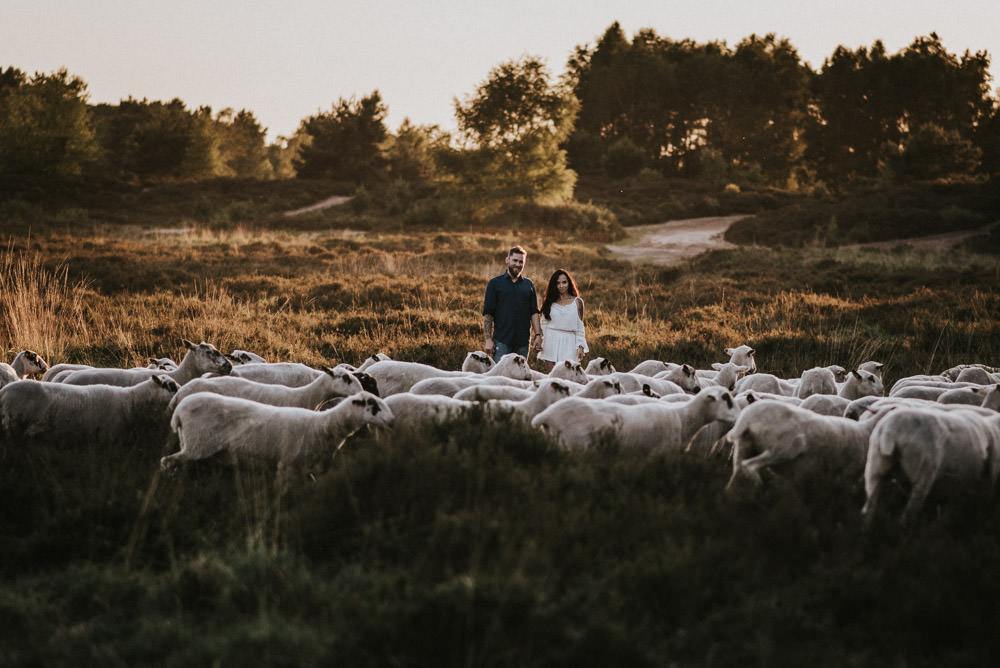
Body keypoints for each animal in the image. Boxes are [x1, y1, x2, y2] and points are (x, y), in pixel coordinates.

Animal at [0, 376, 180, 448]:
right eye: (171, 386)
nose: (183, 393)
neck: (131, 402)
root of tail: (4, 392)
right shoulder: (109, 438)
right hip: (13, 428)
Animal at [162, 388, 392, 472]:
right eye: (373, 405)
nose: (391, 420)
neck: (322, 426)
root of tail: (178, 413)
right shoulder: (288, 464)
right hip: (197, 444)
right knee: (166, 461)